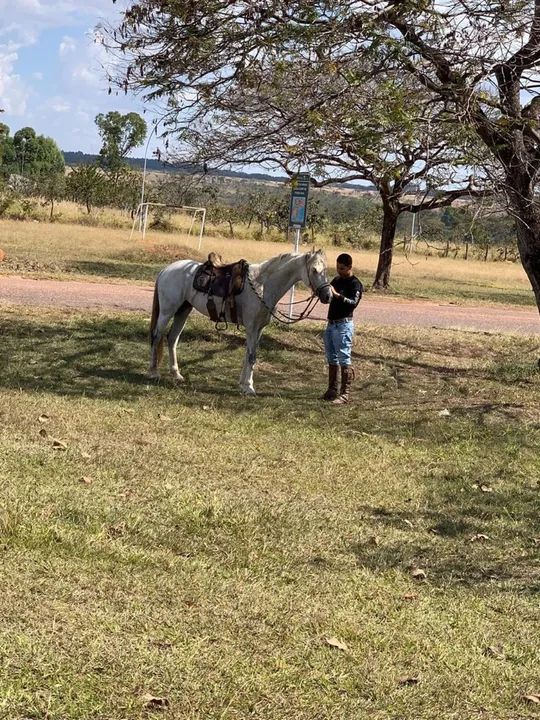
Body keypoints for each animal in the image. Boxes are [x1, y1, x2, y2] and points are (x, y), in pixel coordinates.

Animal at [148, 249, 333, 395]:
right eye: (314, 270)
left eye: (325, 270)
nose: (328, 296)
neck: (262, 286)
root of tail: (166, 270)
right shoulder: (251, 328)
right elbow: (251, 356)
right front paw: (249, 387)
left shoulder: (258, 329)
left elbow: (249, 356)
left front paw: (243, 384)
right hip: (167, 312)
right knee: (156, 337)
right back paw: (154, 372)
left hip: (183, 311)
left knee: (172, 339)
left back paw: (176, 374)